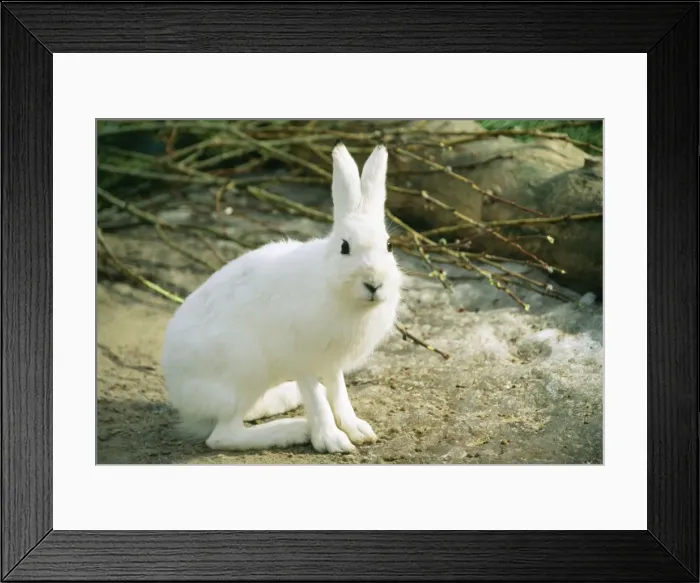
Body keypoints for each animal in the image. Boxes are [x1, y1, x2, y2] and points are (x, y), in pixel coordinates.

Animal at [161, 142, 403, 454]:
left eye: (389, 245)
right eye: (344, 247)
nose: (374, 283)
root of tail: (180, 394)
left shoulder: (331, 362)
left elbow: (338, 393)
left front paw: (358, 430)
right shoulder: (303, 357)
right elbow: (318, 399)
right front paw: (332, 440)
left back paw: (284, 400)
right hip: (246, 370)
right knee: (222, 435)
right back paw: (295, 429)